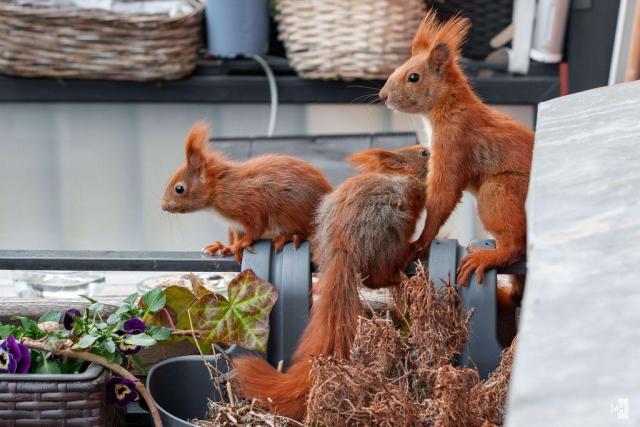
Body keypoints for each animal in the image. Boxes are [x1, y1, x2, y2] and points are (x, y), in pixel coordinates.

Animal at [161, 121, 333, 261]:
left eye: (179, 189)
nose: (163, 207)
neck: (219, 188)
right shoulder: (236, 225)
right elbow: (241, 235)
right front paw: (228, 247)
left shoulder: (247, 203)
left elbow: (255, 228)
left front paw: (235, 247)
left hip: (291, 213)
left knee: (307, 233)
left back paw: (290, 237)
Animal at [232, 144, 430, 421]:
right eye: (421, 154)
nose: (429, 150)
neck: (398, 175)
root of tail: (342, 244)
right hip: (389, 232)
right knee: (377, 275)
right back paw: (402, 266)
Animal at [379, 11, 534, 300]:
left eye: (413, 77)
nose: (383, 96)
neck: (450, 106)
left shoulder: (453, 143)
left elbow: (443, 196)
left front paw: (420, 242)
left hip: (498, 192)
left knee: (515, 246)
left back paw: (486, 257)